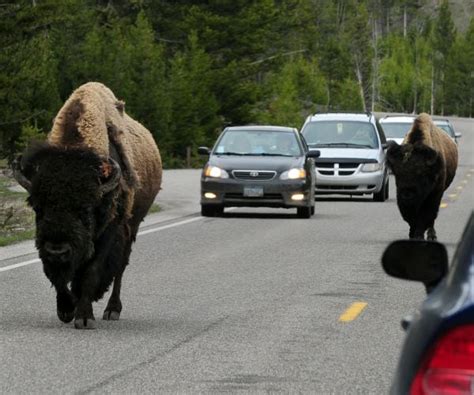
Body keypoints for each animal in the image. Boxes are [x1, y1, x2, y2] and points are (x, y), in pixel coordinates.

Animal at [12, 82, 163, 330]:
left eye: (85, 209)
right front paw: (66, 310)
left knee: (120, 268)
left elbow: (92, 271)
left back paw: (112, 310)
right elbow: (59, 277)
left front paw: (84, 317)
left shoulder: (109, 231)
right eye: (38, 208)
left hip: (132, 226)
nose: (57, 250)